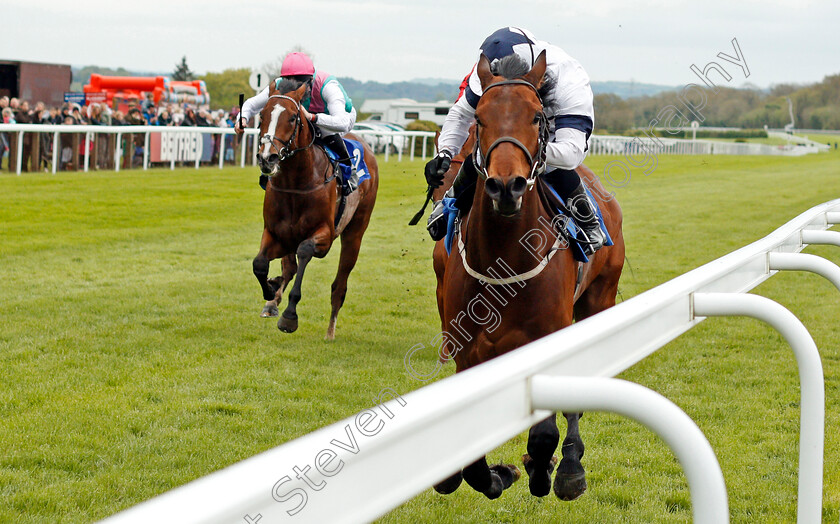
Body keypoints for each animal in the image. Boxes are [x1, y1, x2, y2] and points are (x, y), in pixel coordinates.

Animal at [251, 78, 378, 340]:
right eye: (263, 116)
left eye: (292, 117)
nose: (267, 158)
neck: (296, 183)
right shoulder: (276, 233)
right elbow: (260, 264)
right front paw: (271, 291)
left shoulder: (325, 237)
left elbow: (304, 252)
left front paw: (289, 316)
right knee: (289, 267)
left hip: (355, 233)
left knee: (339, 285)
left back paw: (330, 331)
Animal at [434, 52, 624, 500]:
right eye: (480, 117)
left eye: (537, 116)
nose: (506, 186)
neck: (504, 259)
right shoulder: (468, 351)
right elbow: (472, 457)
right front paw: (499, 474)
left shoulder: (547, 338)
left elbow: (543, 435)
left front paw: (546, 468)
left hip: (598, 300)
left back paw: (570, 464)